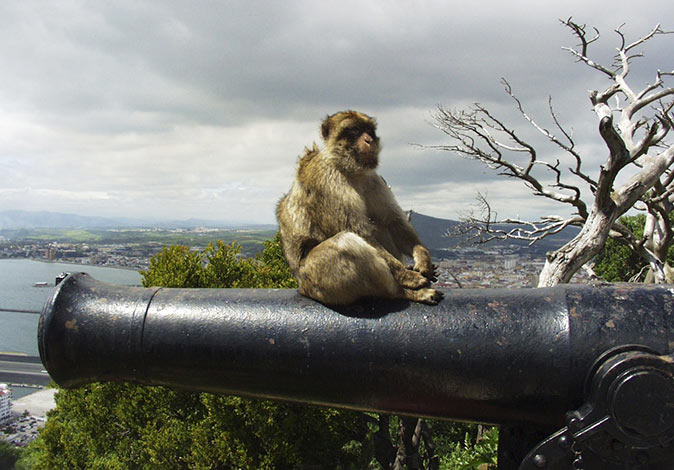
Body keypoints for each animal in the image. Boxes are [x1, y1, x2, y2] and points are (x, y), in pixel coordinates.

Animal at [276, 110, 443, 306]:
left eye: (369, 130)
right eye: (355, 130)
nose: (369, 140)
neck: (350, 170)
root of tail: (302, 288)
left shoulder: (373, 179)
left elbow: (393, 220)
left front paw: (423, 259)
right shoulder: (327, 179)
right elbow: (358, 230)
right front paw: (408, 276)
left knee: (380, 224)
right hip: (318, 281)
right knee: (345, 243)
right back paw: (404, 292)